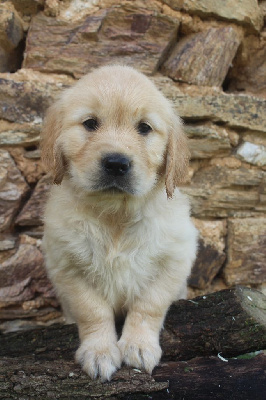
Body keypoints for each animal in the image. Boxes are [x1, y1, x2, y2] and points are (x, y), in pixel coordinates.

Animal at [41, 65, 197, 382]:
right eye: (90, 123)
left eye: (144, 128)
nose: (116, 163)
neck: (116, 215)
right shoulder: (66, 264)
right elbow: (92, 310)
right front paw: (99, 352)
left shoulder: (176, 257)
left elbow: (148, 305)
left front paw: (138, 346)